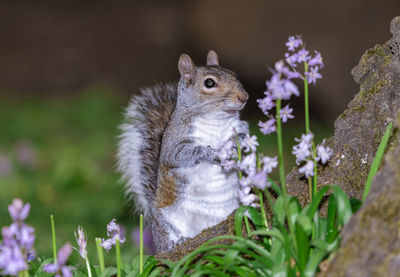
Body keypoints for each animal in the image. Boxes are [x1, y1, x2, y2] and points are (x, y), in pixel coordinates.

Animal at [117, 50, 248, 252]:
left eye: (234, 74)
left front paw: (240, 143)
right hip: (165, 218)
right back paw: (176, 242)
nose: (244, 97)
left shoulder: (238, 126)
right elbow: (180, 155)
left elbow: (245, 133)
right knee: (165, 239)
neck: (217, 120)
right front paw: (211, 154)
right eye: (209, 83)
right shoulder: (174, 142)